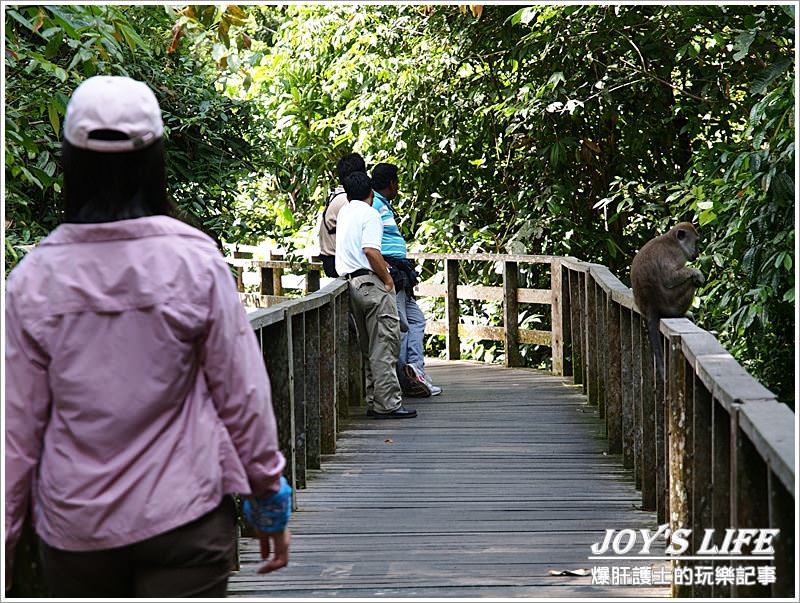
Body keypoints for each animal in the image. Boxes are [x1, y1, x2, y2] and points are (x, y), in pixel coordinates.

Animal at [636, 224, 704, 380]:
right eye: (696, 242)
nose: (697, 253)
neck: (673, 240)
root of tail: (651, 305)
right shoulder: (675, 254)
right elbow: (670, 277)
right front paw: (697, 272)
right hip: (672, 304)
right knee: (691, 282)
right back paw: (682, 313)